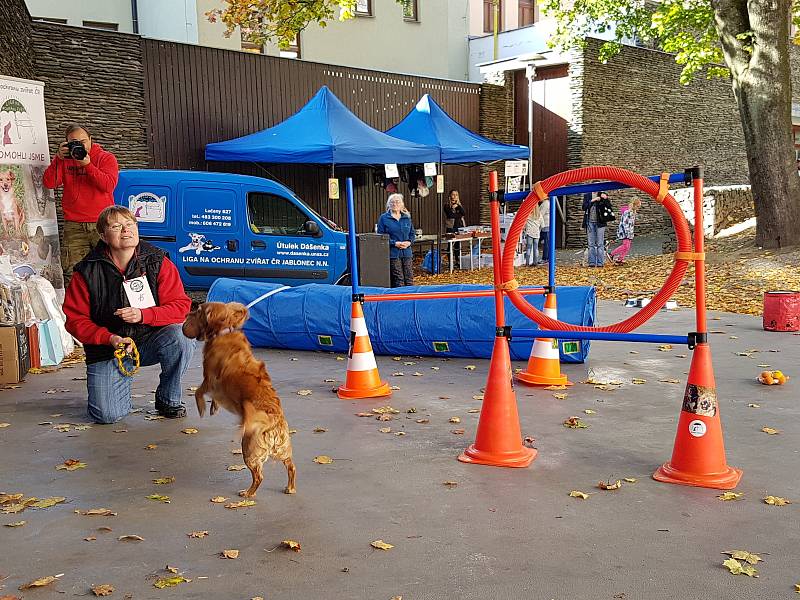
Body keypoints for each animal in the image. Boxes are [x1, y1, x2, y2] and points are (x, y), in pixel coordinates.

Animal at [182, 302, 296, 500]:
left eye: (199, 311)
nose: (188, 312)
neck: (223, 331)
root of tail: (274, 420)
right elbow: (213, 398)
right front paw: (213, 407)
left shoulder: (210, 379)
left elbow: (198, 392)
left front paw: (202, 407)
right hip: (283, 449)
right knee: (291, 466)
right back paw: (290, 488)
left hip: (248, 448)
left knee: (259, 475)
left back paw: (248, 493)